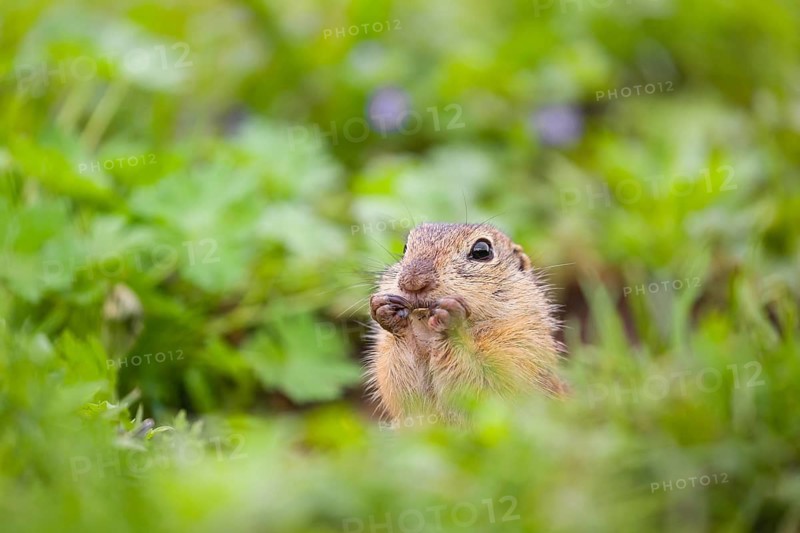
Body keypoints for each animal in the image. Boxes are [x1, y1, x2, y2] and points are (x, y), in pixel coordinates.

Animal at [366, 222, 565, 424]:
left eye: (482, 251)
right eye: (405, 248)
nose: (413, 281)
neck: (429, 337)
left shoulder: (521, 347)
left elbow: (483, 382)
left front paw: (450, 318)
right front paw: (385, 309)